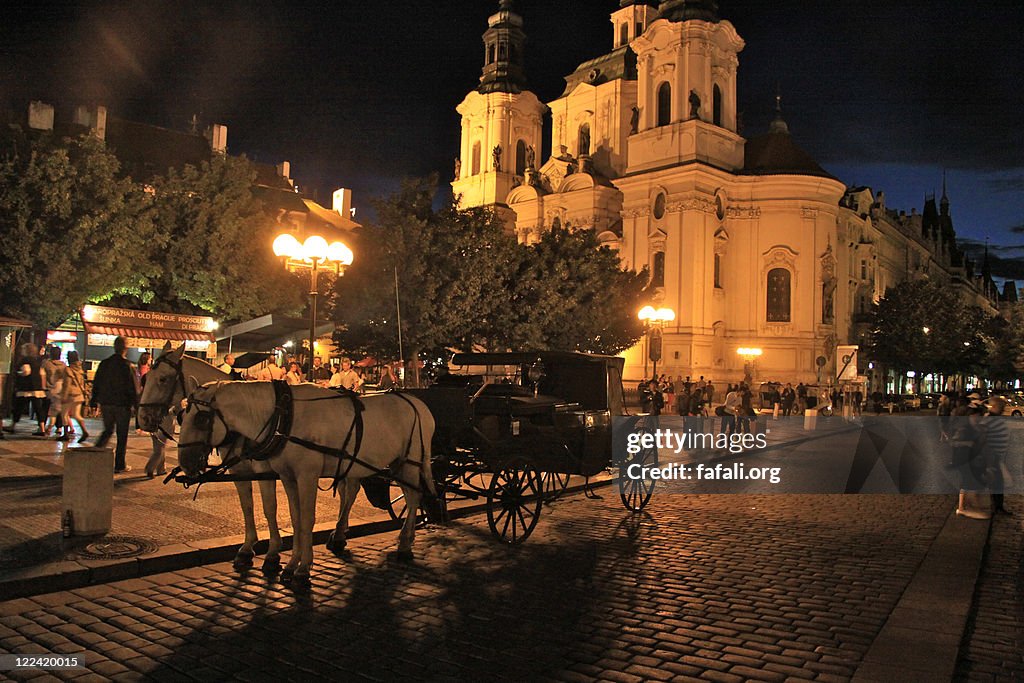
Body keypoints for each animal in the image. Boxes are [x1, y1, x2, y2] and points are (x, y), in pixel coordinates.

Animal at [138, 344, 284, 573]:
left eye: (163, 379)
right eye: (146, 378)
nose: (143, 419)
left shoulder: (264, 469)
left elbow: (269, 507)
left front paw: (273, 553)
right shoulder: (238, 470)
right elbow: (247, 505)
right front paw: (246, 548)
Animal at [176, 378, 436, 589]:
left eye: (201, 418)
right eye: (181, 416)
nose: (185, 463)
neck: (283, 418)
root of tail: (418, 403)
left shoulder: (306, 475)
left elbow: (307, 519)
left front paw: (302, 569)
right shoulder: (287, 476)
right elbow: (293, 517)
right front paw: (290, 564)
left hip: (409, 463)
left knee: (413, 497)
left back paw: (404, 544)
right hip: (389, 464)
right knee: (370, 492)